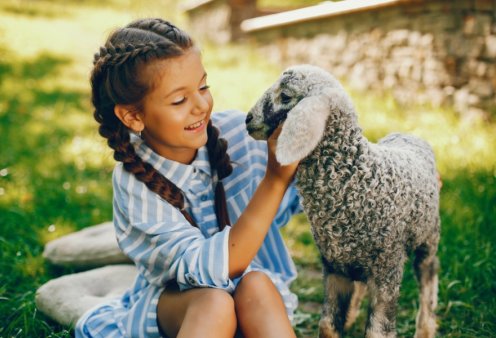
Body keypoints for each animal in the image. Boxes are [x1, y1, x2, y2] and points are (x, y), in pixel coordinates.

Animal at [246, 64, 440, 338]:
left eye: (285, 96)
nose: (248, 120)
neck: (356, 181)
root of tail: (408, 135)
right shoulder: (335, 267)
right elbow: (327, 325)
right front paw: (340, 322)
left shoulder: (387, 272)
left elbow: (377, 332)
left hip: (428, 238)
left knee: (428, 281)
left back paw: (424, 328)